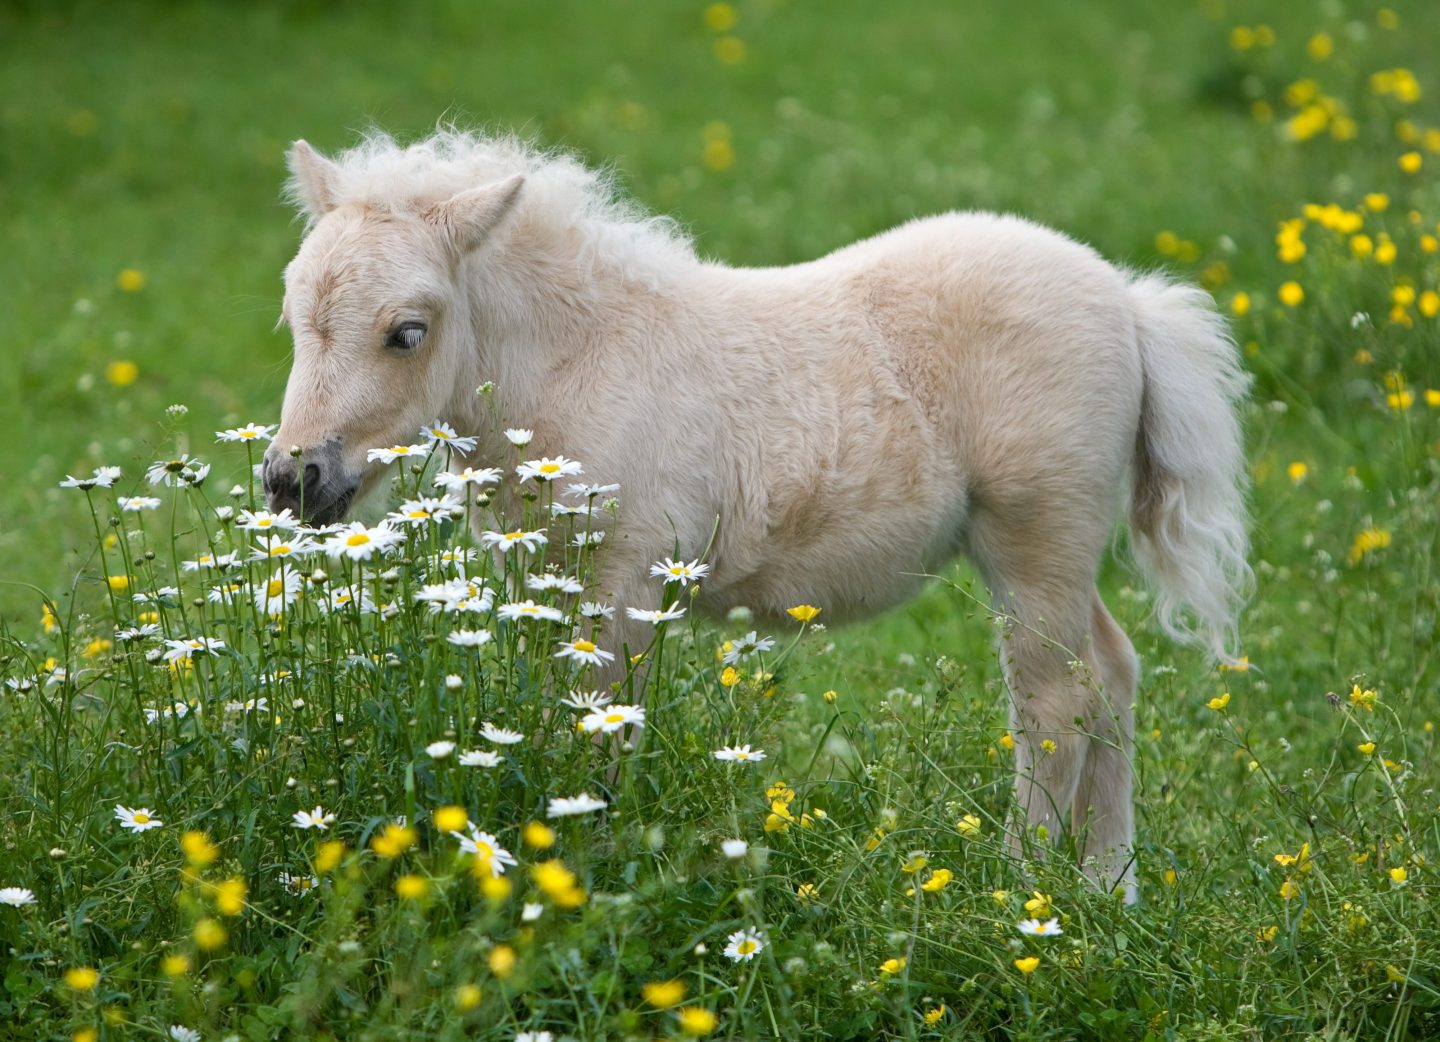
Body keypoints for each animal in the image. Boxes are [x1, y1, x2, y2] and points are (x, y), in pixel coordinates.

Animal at [264, 129, 1249, 901]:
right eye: (294, 315)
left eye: (408, 331)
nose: (293, 480)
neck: (583, 360)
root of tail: (1127, 301)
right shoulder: (544, 577)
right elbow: (549, 715)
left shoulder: (625, 580)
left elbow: (599, 727)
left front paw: (584, 873)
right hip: (1059, 549)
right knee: (1110, 675)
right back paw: (1107, 889)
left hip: (1035, 535)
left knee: (1054, 701)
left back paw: (1021, 890)